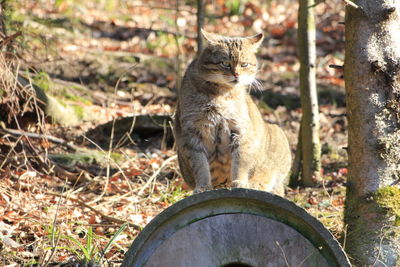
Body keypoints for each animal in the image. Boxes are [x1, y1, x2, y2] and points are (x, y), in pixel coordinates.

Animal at [173, 29, 292, 197]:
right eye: (225, 63)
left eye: (244, 64)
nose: (236, 75)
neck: (220, 95)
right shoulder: (191, 134)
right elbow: (200, 165)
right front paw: (203, 187)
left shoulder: (240, 131)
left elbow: (240, 162)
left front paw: (240, 183)